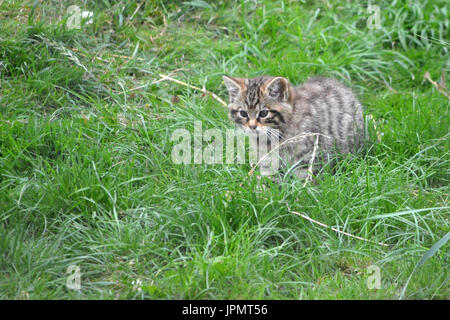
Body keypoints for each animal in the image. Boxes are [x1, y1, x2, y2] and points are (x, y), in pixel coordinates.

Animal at [223, 75, 364, 180]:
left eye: (263, 113)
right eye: (243, 114)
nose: (252, 126)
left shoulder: (309, 155)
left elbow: (305, 177)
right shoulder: (268, 160)